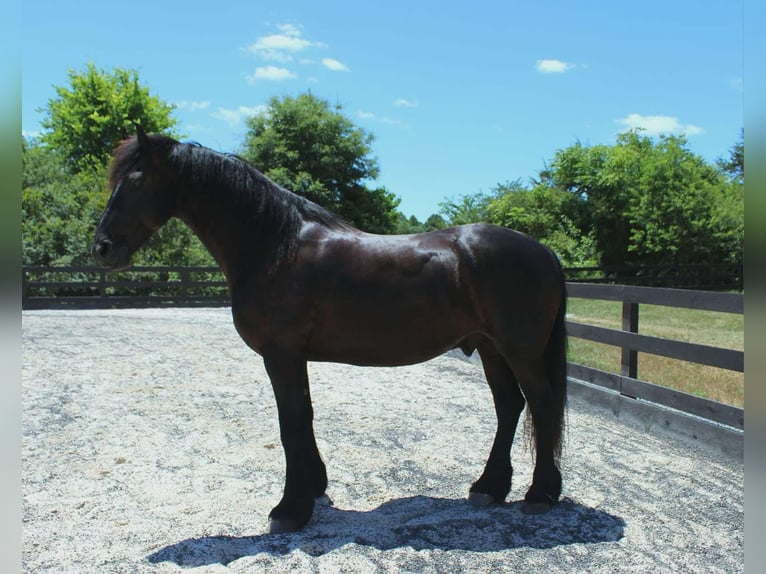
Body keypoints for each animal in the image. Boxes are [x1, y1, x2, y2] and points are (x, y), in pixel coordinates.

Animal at [92, 127, 568, 534]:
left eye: (135, 181)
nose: (102, 248)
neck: (274, 244)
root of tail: (544, 252)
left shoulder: (281, 354)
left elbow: (291, 423)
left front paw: (289, 510)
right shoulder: (292, 356)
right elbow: (304, 418)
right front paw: (314, 489)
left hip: (519, 350)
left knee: (541, 404)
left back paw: (540, 494)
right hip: (491, 348)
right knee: (509, 406)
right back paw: (489, 488)